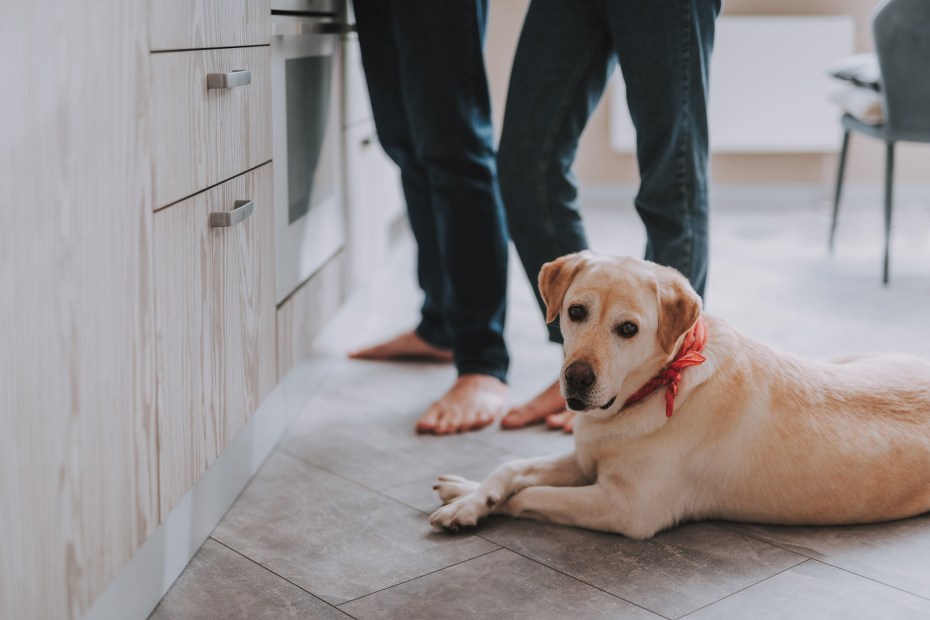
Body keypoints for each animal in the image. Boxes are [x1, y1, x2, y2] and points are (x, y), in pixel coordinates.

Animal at [426, 252, 928, 536]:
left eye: (628, 329)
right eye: (576, 311)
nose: (577, 379)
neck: (661, 381)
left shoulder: (626, 508)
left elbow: (528, 494)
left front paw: (483, 506)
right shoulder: (587, 458)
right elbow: (511, 467)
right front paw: (468, 497)